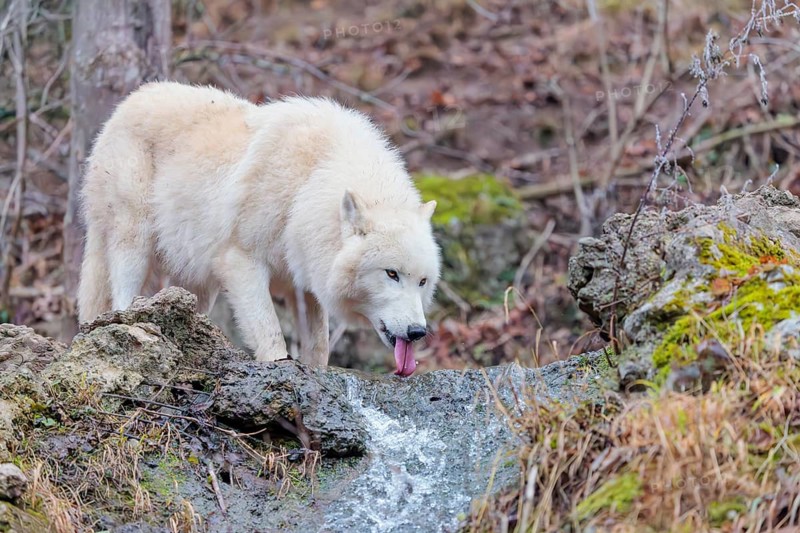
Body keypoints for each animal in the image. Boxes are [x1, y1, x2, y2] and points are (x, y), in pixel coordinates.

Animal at [78, 82, 440, 376]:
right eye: (391, 273)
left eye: (423, 282)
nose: (417, 332)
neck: (306, 186)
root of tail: (128, 102)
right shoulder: (242, 261)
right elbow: (270, 332)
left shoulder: (304, 283)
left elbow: (318, 346)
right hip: (134, 241)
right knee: (120, 299)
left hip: (196, 281)